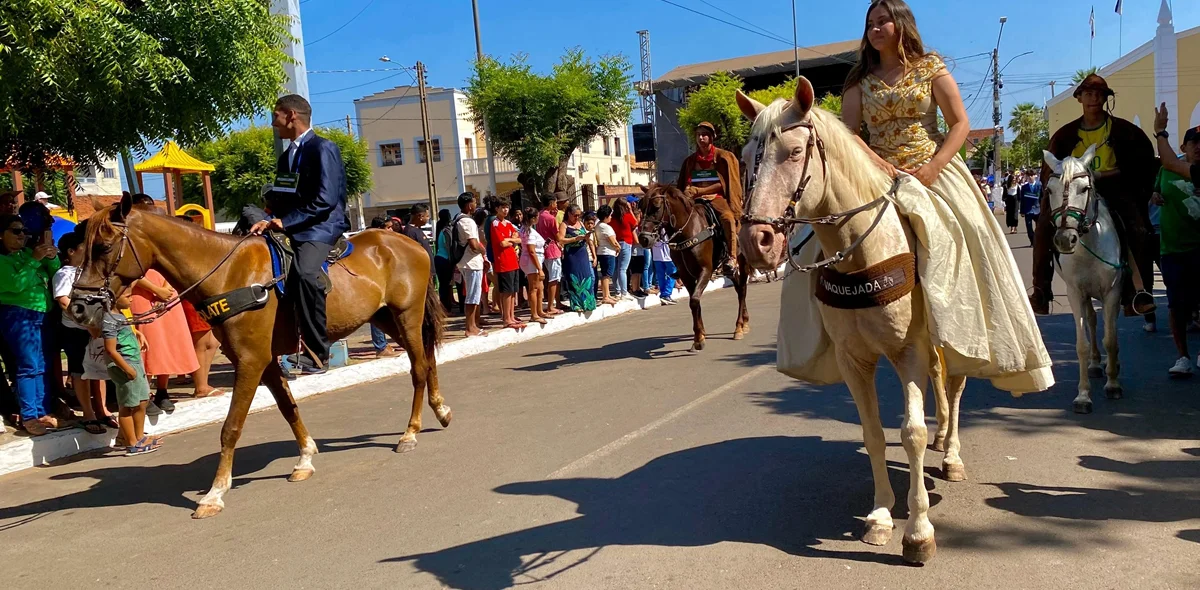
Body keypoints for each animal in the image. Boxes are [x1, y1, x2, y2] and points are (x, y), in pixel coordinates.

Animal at [69, 193, 451, 515]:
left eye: (104, 246)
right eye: (81, 249)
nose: (78, 308)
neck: (227, 274)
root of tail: (410, 242)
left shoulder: (251, 361)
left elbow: (231, 427)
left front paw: (215, 493)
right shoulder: (263, 362)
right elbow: (288, 407)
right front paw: (305, 458)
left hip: (407, 315)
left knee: (419, 367)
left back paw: (410, 433)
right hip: (386, 318)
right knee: (428, 359)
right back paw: (441, 411)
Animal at [638, 184, 748, 350]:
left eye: (656, 207)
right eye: (640, 206)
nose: (643, 239)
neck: (687, 231)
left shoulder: (705, 271)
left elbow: (694, 300)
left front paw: (698, 338)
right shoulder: (686, 275)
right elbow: (694, 301)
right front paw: (700, 335)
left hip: (740, 261)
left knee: (741, 289)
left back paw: (740, 327)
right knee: (740, 287)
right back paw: (744, 322)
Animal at [734, 78, 969, 561]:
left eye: (794, 153)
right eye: (745, 160)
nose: (755, 242)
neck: (864, 251)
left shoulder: (908, 351)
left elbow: (911, 433)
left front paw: (918, 531)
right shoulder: (853, 359)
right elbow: (874, 433)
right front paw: (880, 517)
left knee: (953, 385)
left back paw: (951, 454)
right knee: (940, 380)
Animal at [1041, 147, 1123, 414]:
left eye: (1085, 188)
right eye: (1049, 190)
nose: (1065, 239)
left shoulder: (1112, 292)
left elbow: (1111, 339)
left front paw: (1113, 385)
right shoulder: (1076, 293)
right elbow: (1082, 345)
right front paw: (1083, 396)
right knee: (1092, 321)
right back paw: (1097, 365)